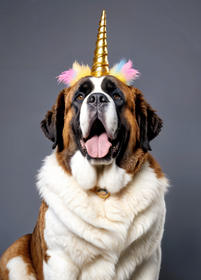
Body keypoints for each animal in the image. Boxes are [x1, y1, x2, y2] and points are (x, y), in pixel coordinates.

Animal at [0, 73, 168, 278]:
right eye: (80, 97)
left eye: (116, 96)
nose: (97, 98)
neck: (103, 189)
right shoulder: (59, 260)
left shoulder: (148, 261)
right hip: (14, 256)